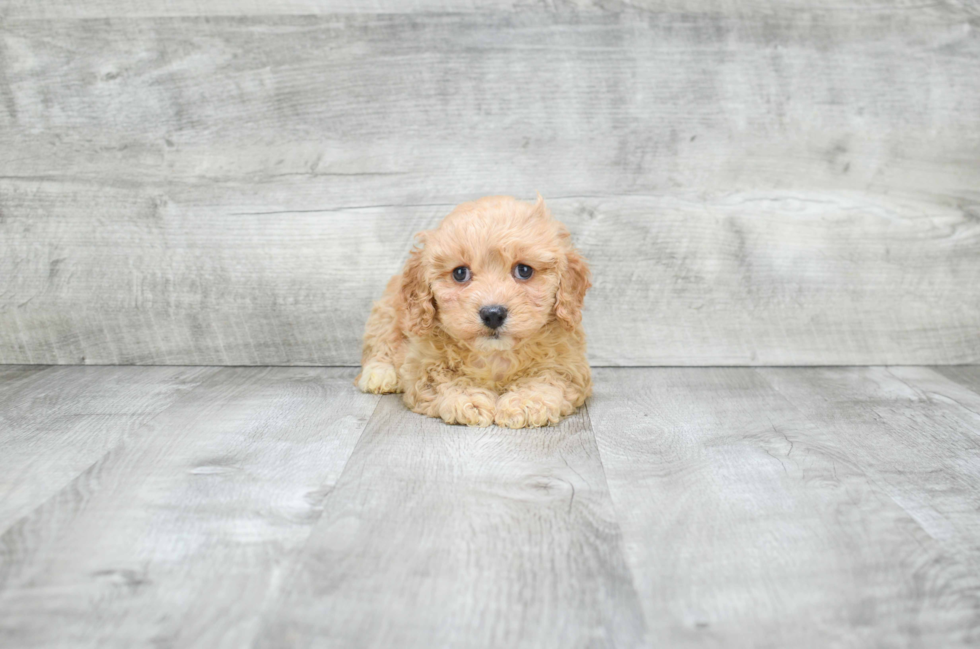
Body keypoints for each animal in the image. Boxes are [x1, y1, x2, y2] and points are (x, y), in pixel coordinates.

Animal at [358, 192, 592, 428]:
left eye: (524, 270)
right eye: (460, 273)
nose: (493, 314)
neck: (495, 354)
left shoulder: (568, 363)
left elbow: (548, 376)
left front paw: (526, 402)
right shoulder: (422, 363)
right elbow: (443, 378)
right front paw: (467, 399)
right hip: (387, 311)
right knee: (381, 343)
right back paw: (379, 374)